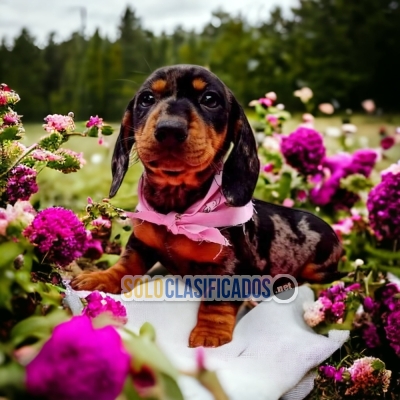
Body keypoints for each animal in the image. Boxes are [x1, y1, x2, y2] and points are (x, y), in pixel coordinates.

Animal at [71, 65, 340, 346]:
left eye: (210, 99)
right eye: (147, 99)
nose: (169, 129)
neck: (177, 211)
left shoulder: (231, 266)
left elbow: (218, 299)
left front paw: (210, 331)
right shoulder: (142, 243)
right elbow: (127, 264)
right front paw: (100, 277)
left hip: (318, 268)